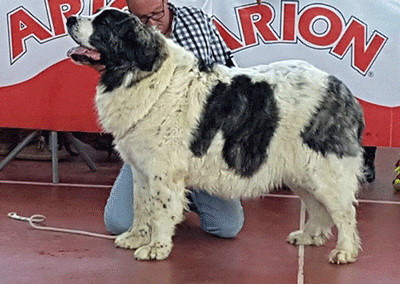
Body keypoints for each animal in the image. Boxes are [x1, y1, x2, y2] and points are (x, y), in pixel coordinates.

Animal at [66, 8, 366, 264]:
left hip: (325, 170)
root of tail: (341, 89)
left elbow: (160, 210)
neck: (142, 74)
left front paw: (156, 248)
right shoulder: (141, 170)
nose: (69, 19)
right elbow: (142, 205)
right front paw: (135, 237)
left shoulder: (163, 172)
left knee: (344, 211)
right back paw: (308, 235)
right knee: (319, 208)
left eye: (104, 23)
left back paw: (345, 251)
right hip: (302, 173)